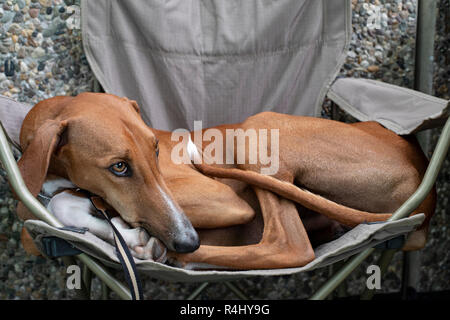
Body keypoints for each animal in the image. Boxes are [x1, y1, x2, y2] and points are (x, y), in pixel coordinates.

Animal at [15, 93, 434, 270]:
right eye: (118, 167)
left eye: (155, 149)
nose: (187, 239)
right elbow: (53, 210)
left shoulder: (221, 198)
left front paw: (138, 239)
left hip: (258, 128)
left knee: (289, 245)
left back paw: (177, 257)